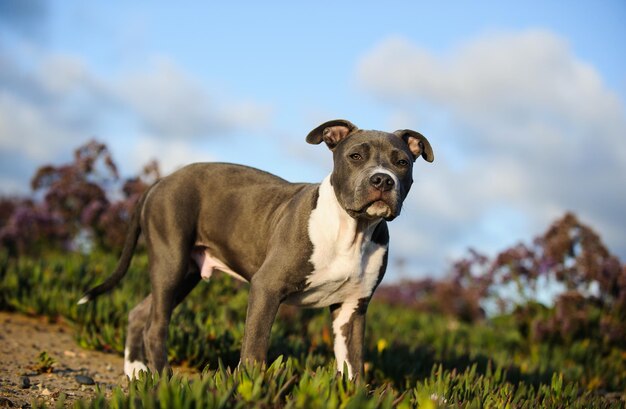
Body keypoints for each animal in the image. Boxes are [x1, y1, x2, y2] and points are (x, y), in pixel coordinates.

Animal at [78, 118, 432, 380]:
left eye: (402, 162)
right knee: (156, 325)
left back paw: (136, 370)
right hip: (171, 261)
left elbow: (352, 367)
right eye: (355, 156)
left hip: (185, 273)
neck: (351, 230)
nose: (383, 180)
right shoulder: (267, 287)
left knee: (140, 312)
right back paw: (162, 379)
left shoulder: (353, 308)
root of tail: (162, 181)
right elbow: (255, 348)